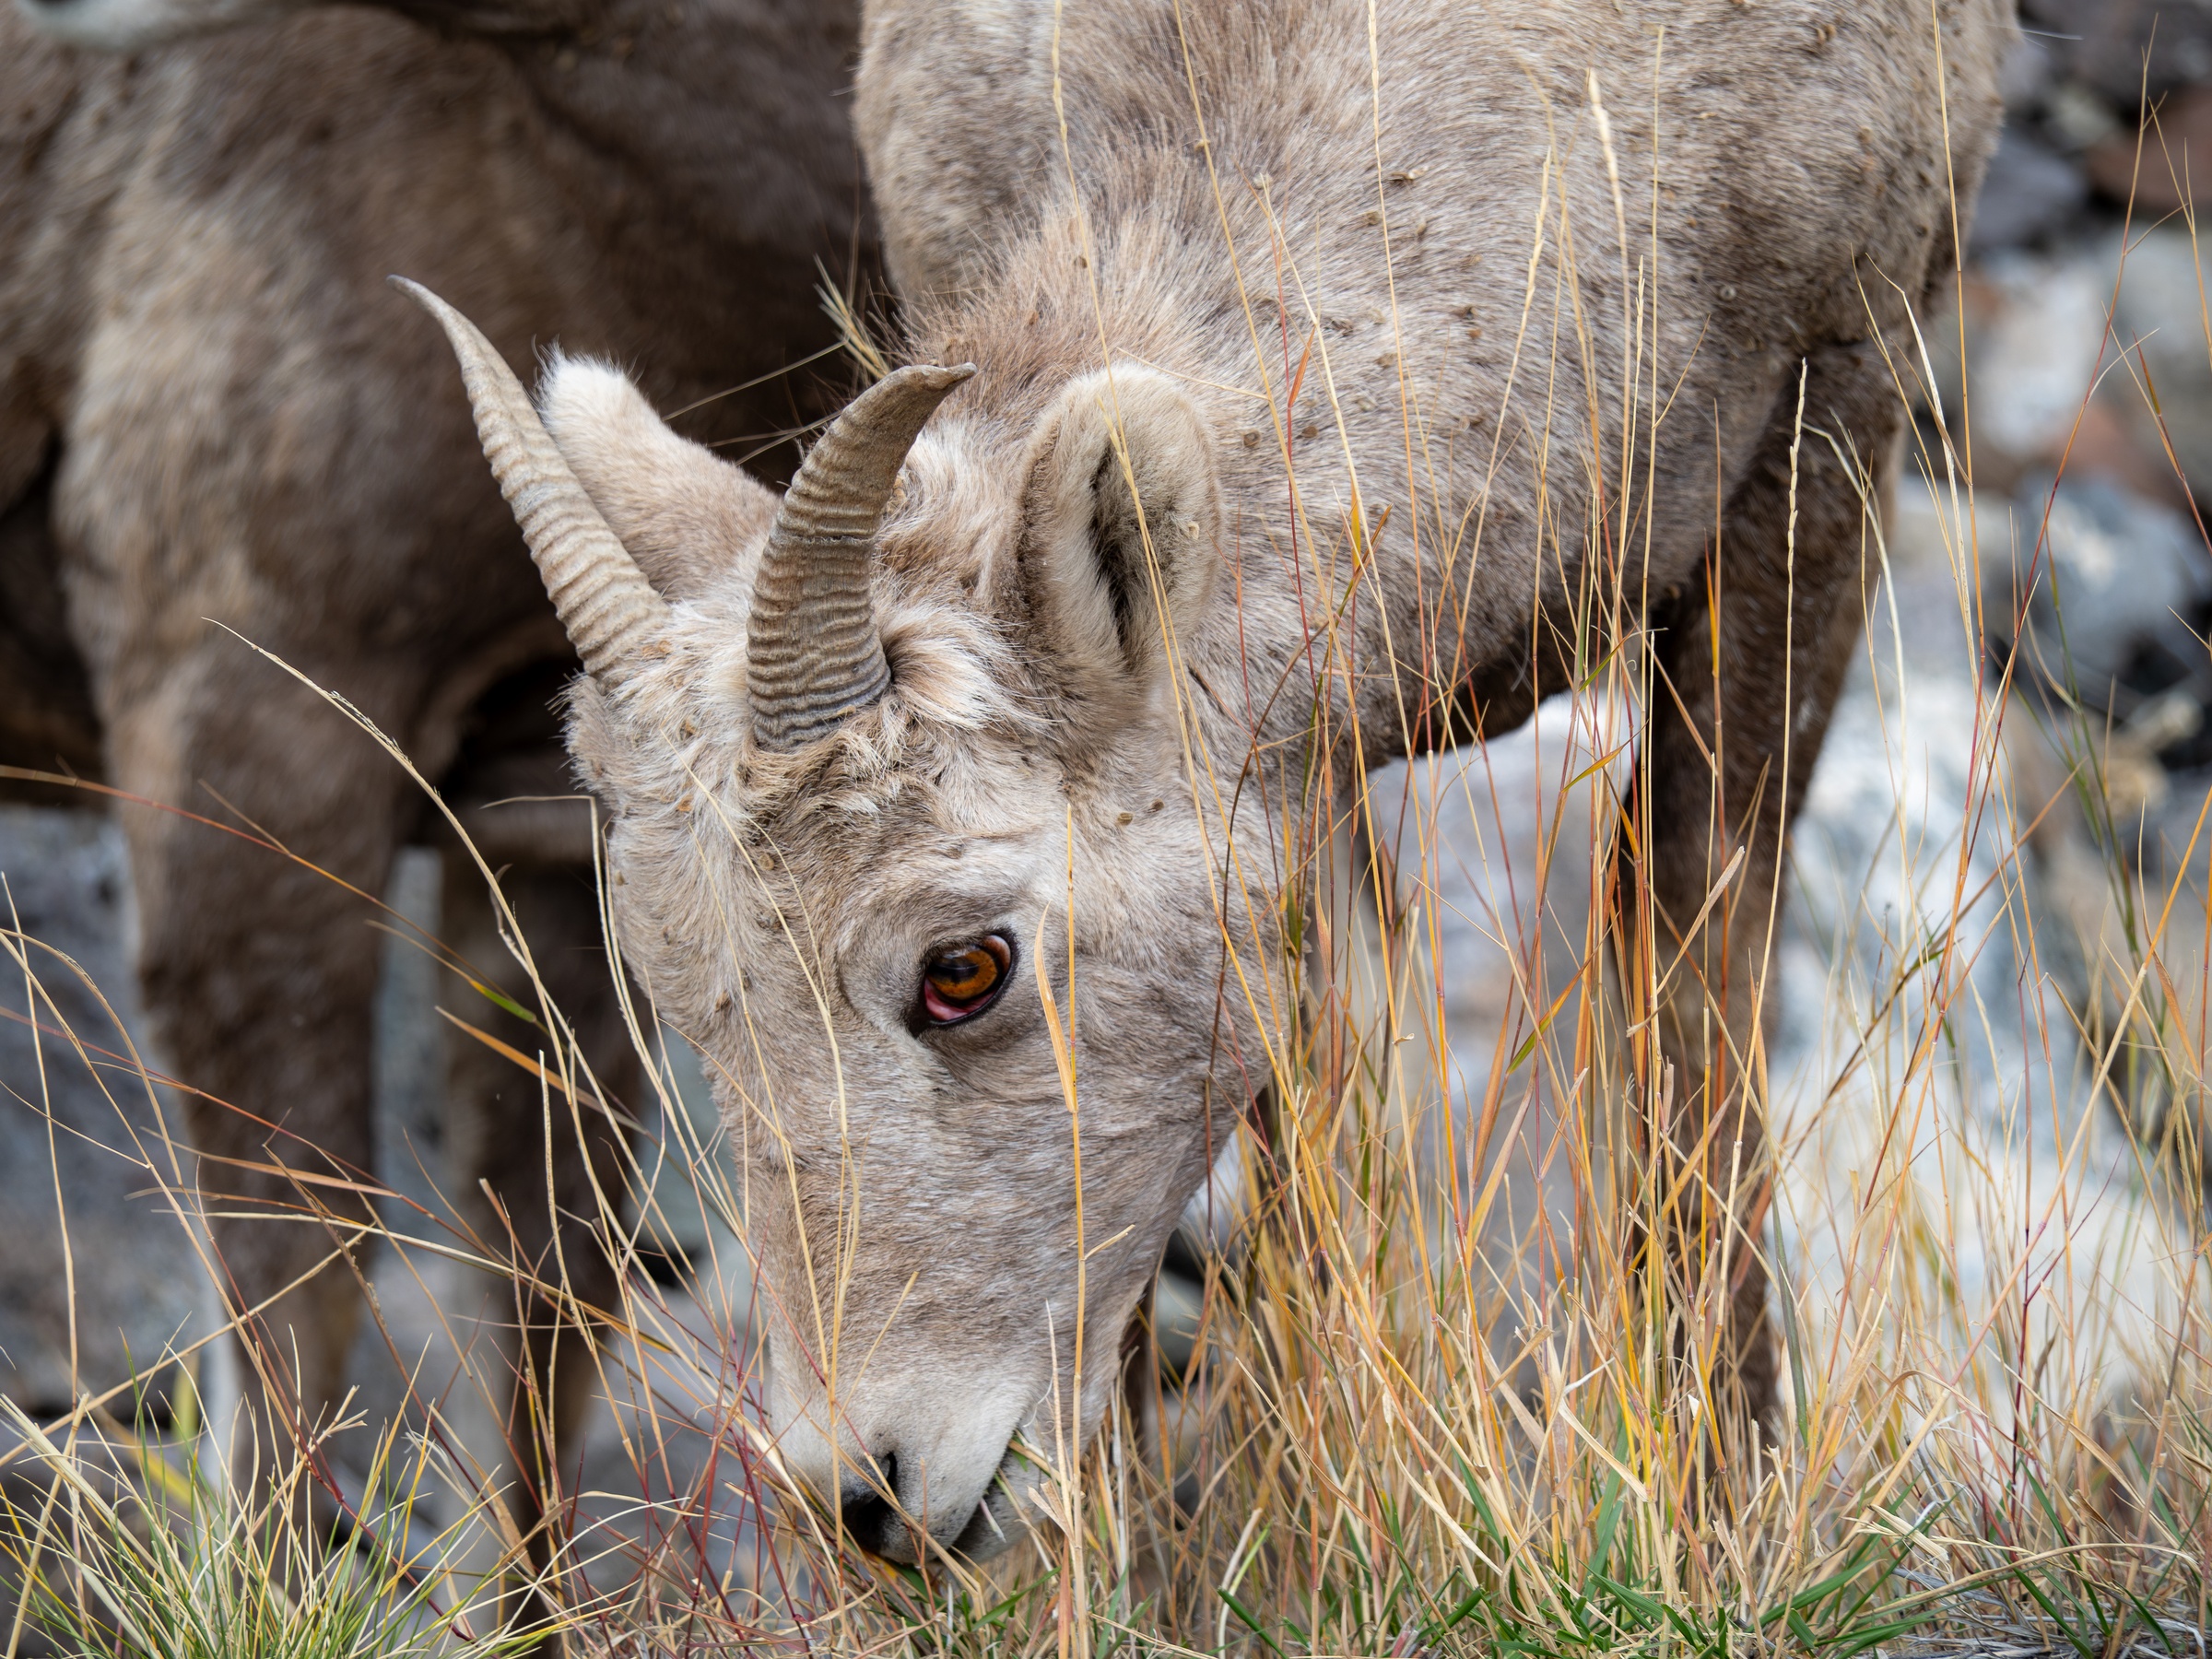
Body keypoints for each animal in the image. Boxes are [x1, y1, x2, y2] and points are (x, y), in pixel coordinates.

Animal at [409, 0, 2013, 1564]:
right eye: (691, 1012)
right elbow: (1309, 1105)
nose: (867, 1497)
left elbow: (1691, 960)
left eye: (963, 968)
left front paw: (1727, 1512)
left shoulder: (1828, 415)